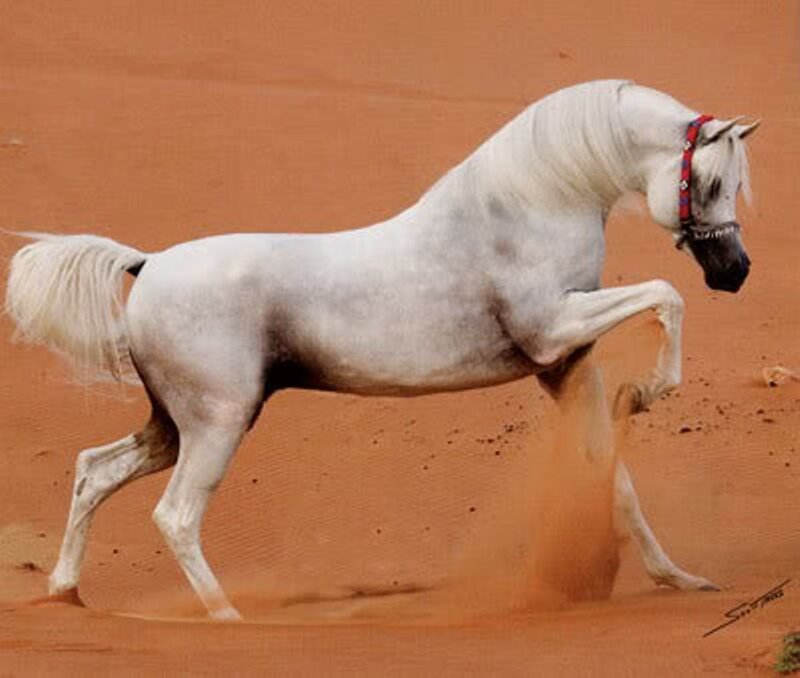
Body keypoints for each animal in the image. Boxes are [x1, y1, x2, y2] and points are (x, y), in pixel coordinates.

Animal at [4, 80, 759, 620]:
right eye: (709, 183)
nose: (735, 272)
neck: (531, 204)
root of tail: (148, 263)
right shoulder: (554, 328)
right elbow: (666, 293)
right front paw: (651, 391)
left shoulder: (565, 364)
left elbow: (612, 476)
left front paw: (680, 578)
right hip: (217, 424)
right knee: (176, 515)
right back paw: (228, 621)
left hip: (172, 425)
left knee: (94, 471)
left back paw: (66, 593)